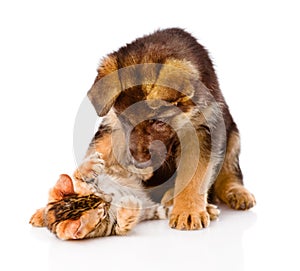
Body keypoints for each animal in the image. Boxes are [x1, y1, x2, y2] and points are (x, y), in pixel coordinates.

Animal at [73, 28, 255, 232]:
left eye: (158, 123)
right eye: (125, 120)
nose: (138, 163)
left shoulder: (202, 131)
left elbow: (193, 176)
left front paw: (187, 211)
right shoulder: (112, 126)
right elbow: (100, 149)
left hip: (233, 136)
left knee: (230, 172)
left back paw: (235, 193)